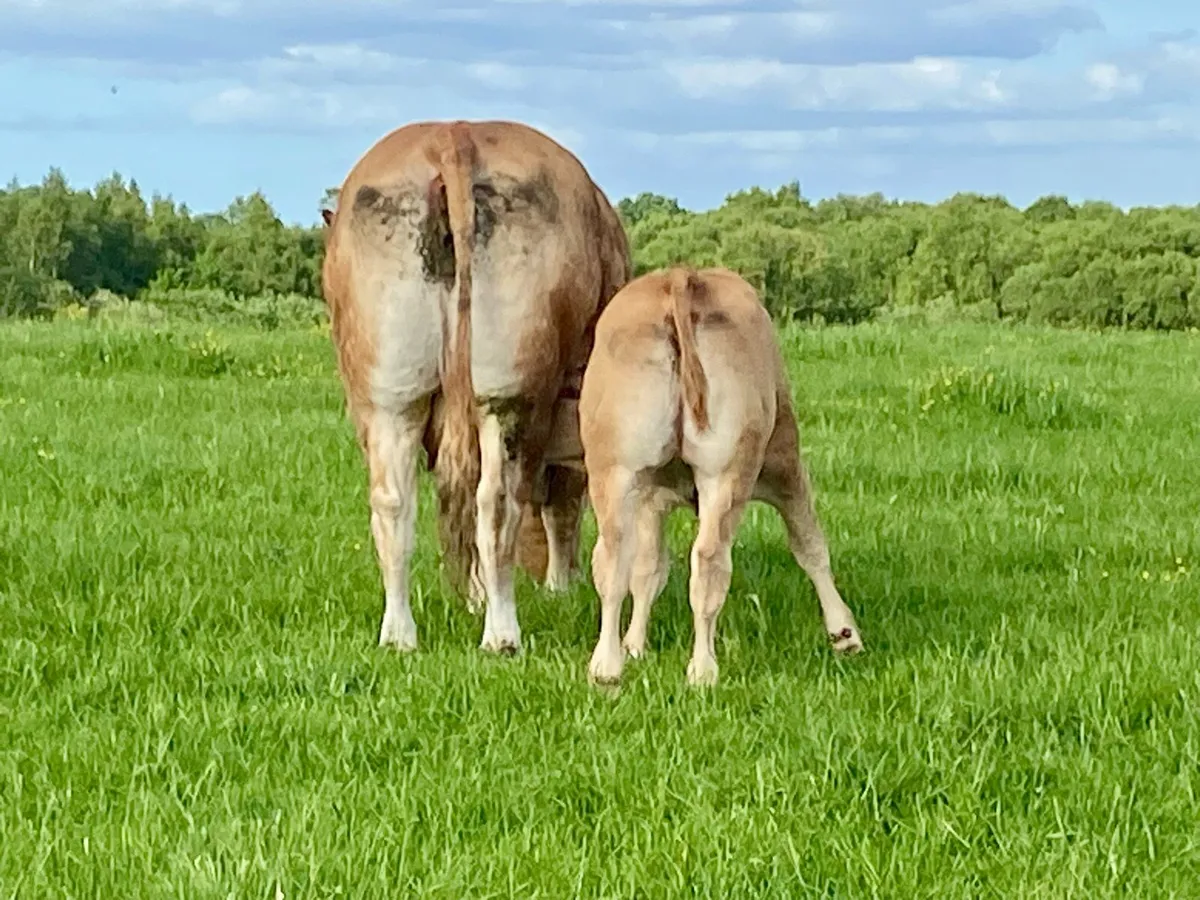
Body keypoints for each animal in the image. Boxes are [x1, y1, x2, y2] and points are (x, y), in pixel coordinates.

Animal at [320, 119, 630, 655]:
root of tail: (453, 134)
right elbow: (563, 500)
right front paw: (558, 586)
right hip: (511, 392)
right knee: (499, 500)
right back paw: (501, 633)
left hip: (390, 391)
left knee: (394, 501)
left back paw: (399, 635)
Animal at [577, 265, 864, 686]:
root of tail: (681, 276)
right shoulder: (784, 461)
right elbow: (809, 543)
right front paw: (844, 632)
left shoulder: (649, 498)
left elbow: (648, 568)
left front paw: (635, 644)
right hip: (730, 469)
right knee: (710, 559)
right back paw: (703, 670)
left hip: (615, 467)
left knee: (613, 557)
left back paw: (607, 667)